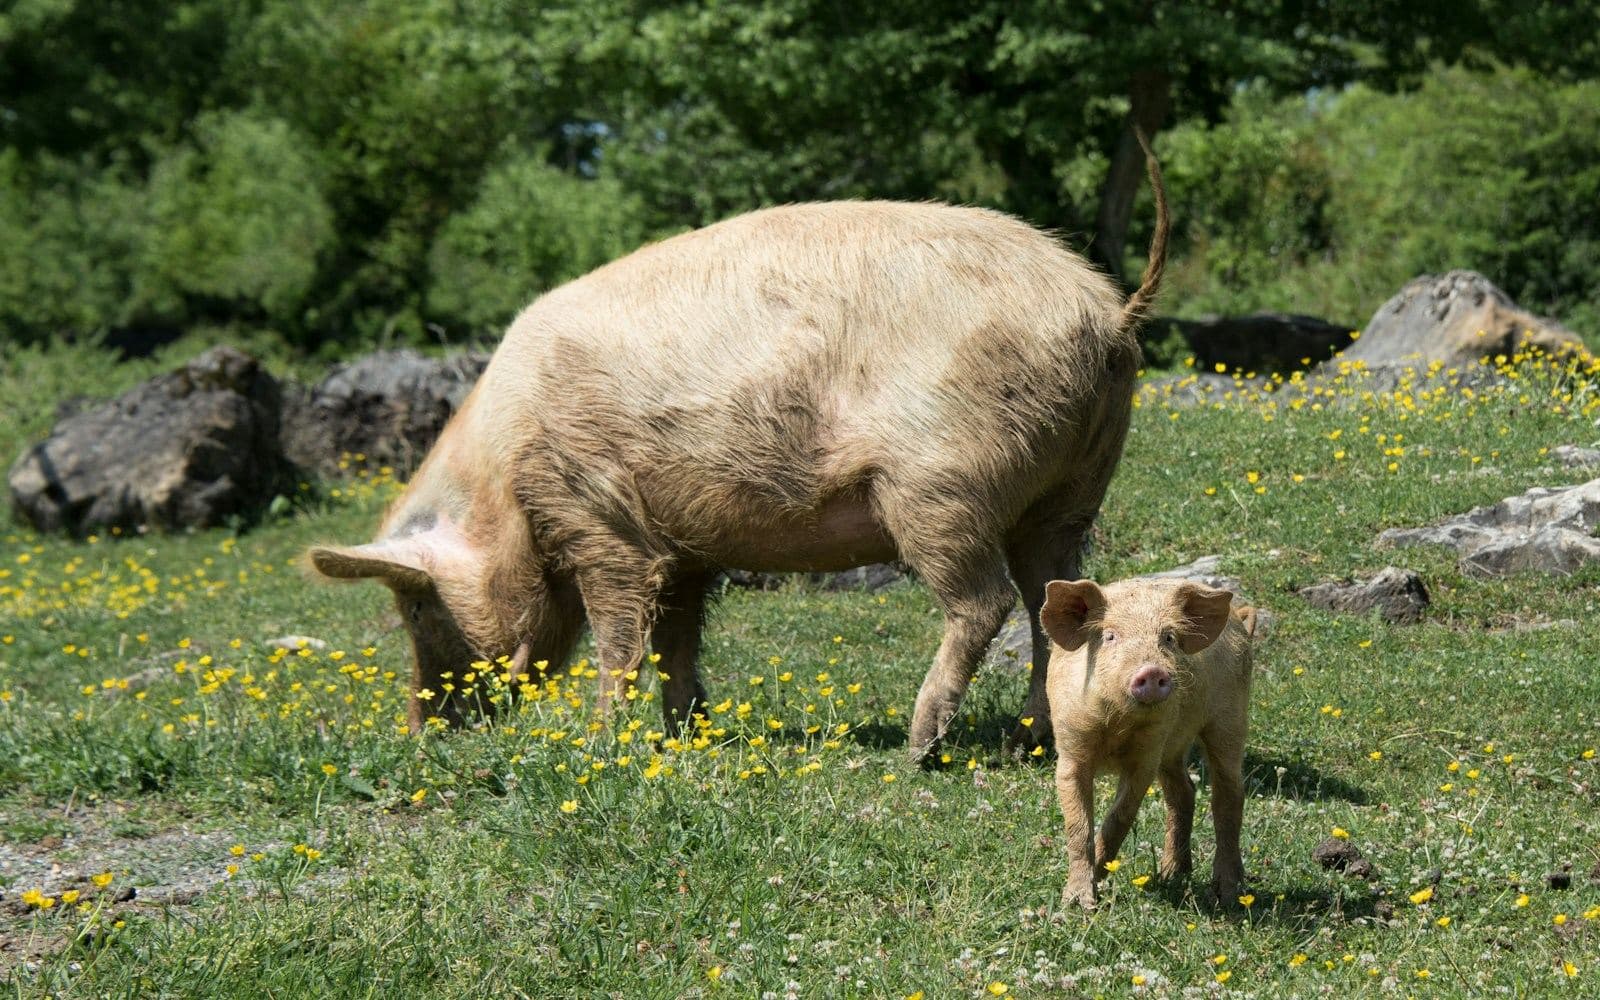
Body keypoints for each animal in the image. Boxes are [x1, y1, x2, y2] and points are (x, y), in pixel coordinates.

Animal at [308, 137, 1169, 758]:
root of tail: (1107, 311)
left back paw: (922, 747)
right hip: (1070, 489)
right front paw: (685, 733)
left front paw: (599, 743)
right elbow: (676, 638)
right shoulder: (682, 546)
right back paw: (1031, 741)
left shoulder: (597, 514)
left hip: (940, 485)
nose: (420, 734)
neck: (502, 484)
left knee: (983, 601)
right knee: (1055, 599)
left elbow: (619, 632)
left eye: (417, 606)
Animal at [1041, 577, 1256, 909]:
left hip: (1230, 719)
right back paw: (1172, 874)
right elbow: (1077, 826)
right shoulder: (1070, 748)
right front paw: (1078, 904)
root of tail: (1236, 618)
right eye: (1110, 636)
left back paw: (1228, 894)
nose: (1152, 671)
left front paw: (1099, 877)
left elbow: (1121, 816)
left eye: (1168, 638)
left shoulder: (1148, 755)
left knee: (1229, 794)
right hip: (1175, 747)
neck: (1117, 725)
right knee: (1184, 791)